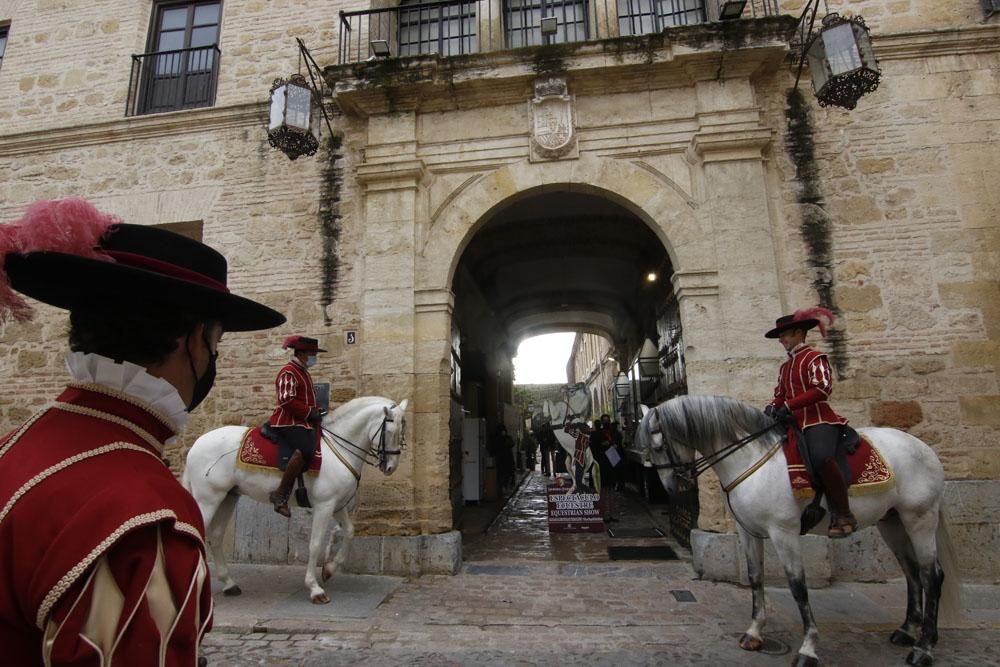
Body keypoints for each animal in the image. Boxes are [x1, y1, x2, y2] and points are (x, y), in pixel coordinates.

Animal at [184, 396, 406, 604]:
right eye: (390, 431)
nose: (391, 468)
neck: (339, 448)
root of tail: (195, 446)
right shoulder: (324, 505)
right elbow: (315, 544)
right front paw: (315, 588)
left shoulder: (337, 504)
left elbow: (350, 532)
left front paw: (329, 569)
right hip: (208, 498)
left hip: (227, 497)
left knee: (215, 536)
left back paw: (229, 584)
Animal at [640, 396, 960, 667]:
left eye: (658, 446)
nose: (672, 489)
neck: (749, 459)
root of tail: (926, 449)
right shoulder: (747, 531)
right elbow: (755, 578)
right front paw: (754, 633)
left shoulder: (784, 531)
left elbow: (798, 587)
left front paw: (808, 649)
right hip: (892, 522)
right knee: (912, 571)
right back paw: (907, 631)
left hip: (920, 518)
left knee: (931, 576)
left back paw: (923, 648)